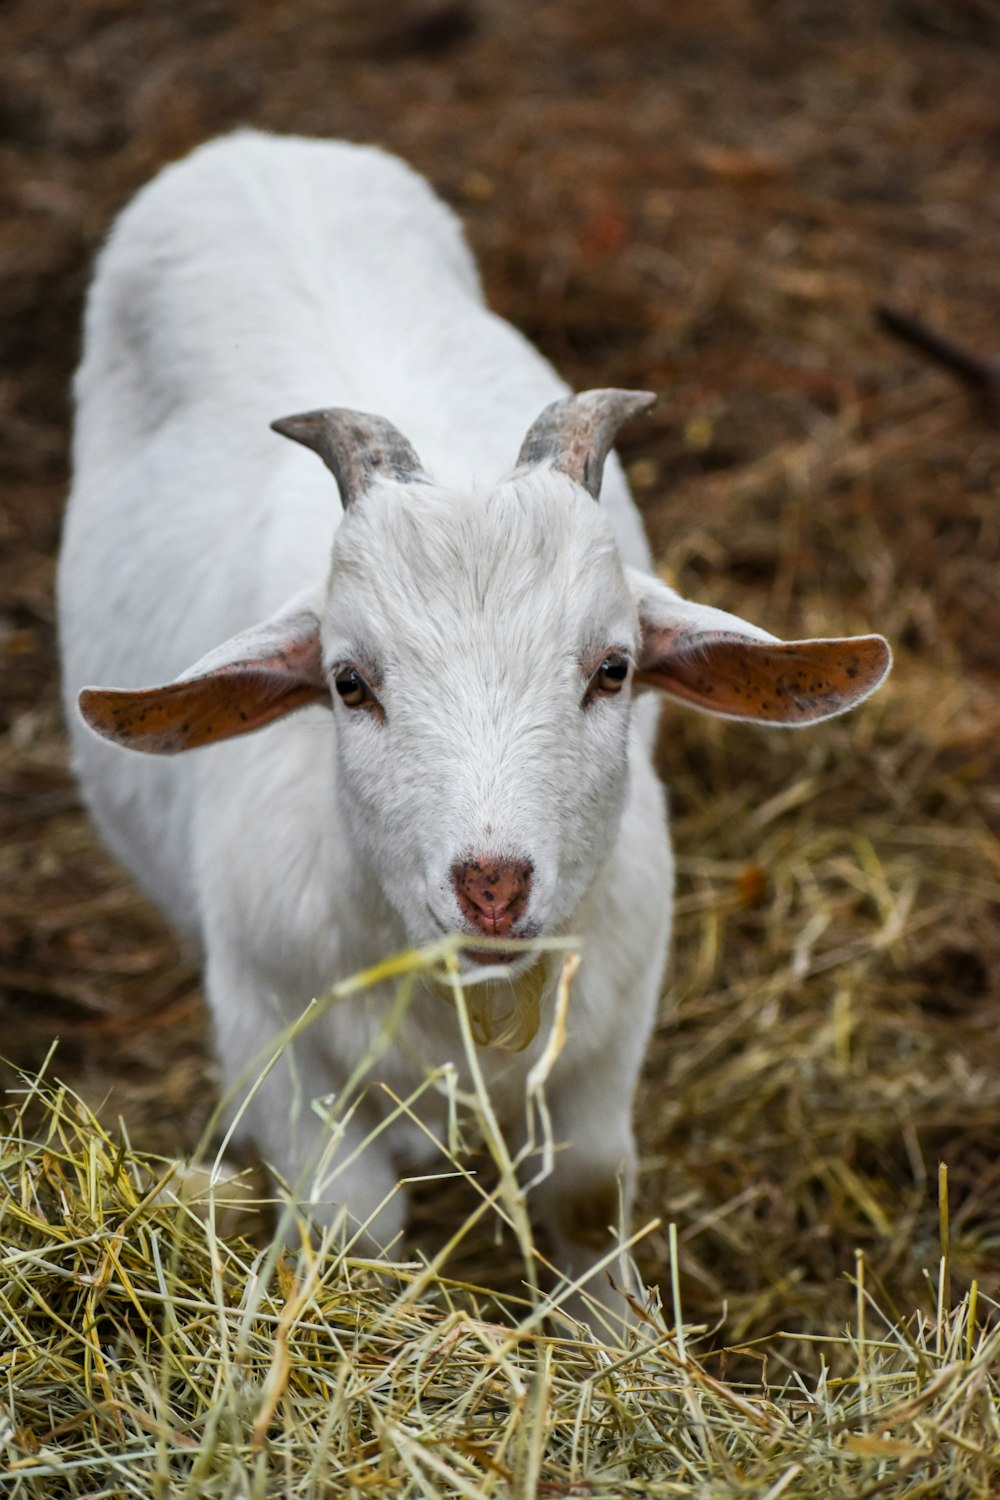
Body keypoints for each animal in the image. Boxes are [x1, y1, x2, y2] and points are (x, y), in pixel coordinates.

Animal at [60, 132, 893, 1326]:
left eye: (613, 669)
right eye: (349, 682)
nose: (491, 884)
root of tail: (262, 147)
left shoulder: (611, 1025)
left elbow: (589, 1194)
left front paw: (615, 1338)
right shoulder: (271, 1036)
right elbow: (353, 1227)